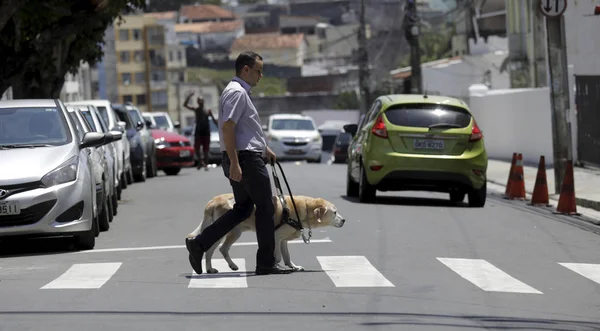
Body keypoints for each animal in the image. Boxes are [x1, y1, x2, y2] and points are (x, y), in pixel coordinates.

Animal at [188, 193, 346, 274]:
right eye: (335, 212)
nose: (344, 220)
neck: (305, 209)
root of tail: (212, 201)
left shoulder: (283, 240)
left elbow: (287, 257)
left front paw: (293, 267)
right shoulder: (275, 237)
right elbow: (278, 256)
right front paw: (275, 266)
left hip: (234, 232)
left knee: (221, 249)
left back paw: (227, 266)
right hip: (226, 231)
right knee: (212, 250)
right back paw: (210, 267)